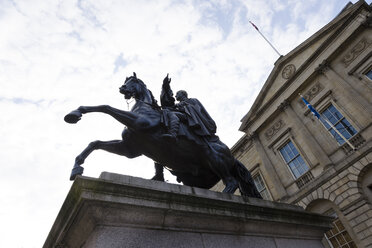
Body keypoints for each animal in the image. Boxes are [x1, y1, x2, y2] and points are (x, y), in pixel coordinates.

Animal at [64, 73, 262, 198]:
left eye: (133, 80)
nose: (121, 88)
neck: (145, 107)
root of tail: (232, 156)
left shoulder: (139, 122)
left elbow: (105, 107)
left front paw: (75, 113)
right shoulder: (129, 149)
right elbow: (95, 143)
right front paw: (77, 167)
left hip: (215, 159)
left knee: (231, 182)